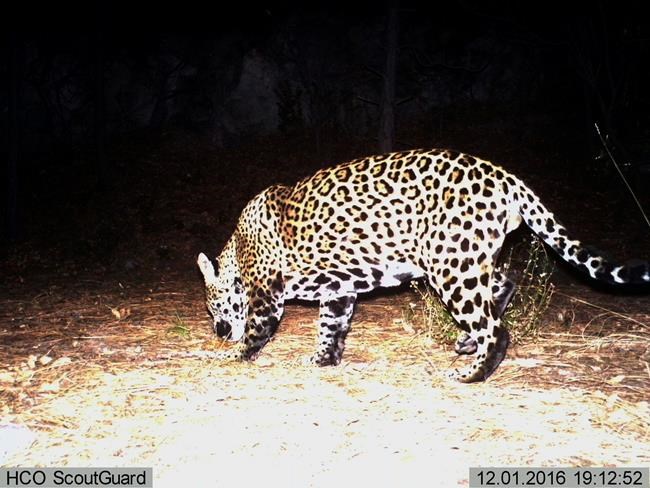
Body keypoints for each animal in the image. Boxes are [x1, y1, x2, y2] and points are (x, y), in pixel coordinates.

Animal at [197, 148, 649, 382]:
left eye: (215, 306)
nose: (217, 331)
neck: (238, 249)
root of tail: (505, 176)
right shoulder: (338, 290)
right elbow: (331, 326)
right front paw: (324, 360)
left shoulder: (266, 294)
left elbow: (256, 329)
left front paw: (233, 355)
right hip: (469, 258)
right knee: (506, 281)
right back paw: (466, 344)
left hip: (452, 267)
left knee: (496, 328)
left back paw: (472, 374)